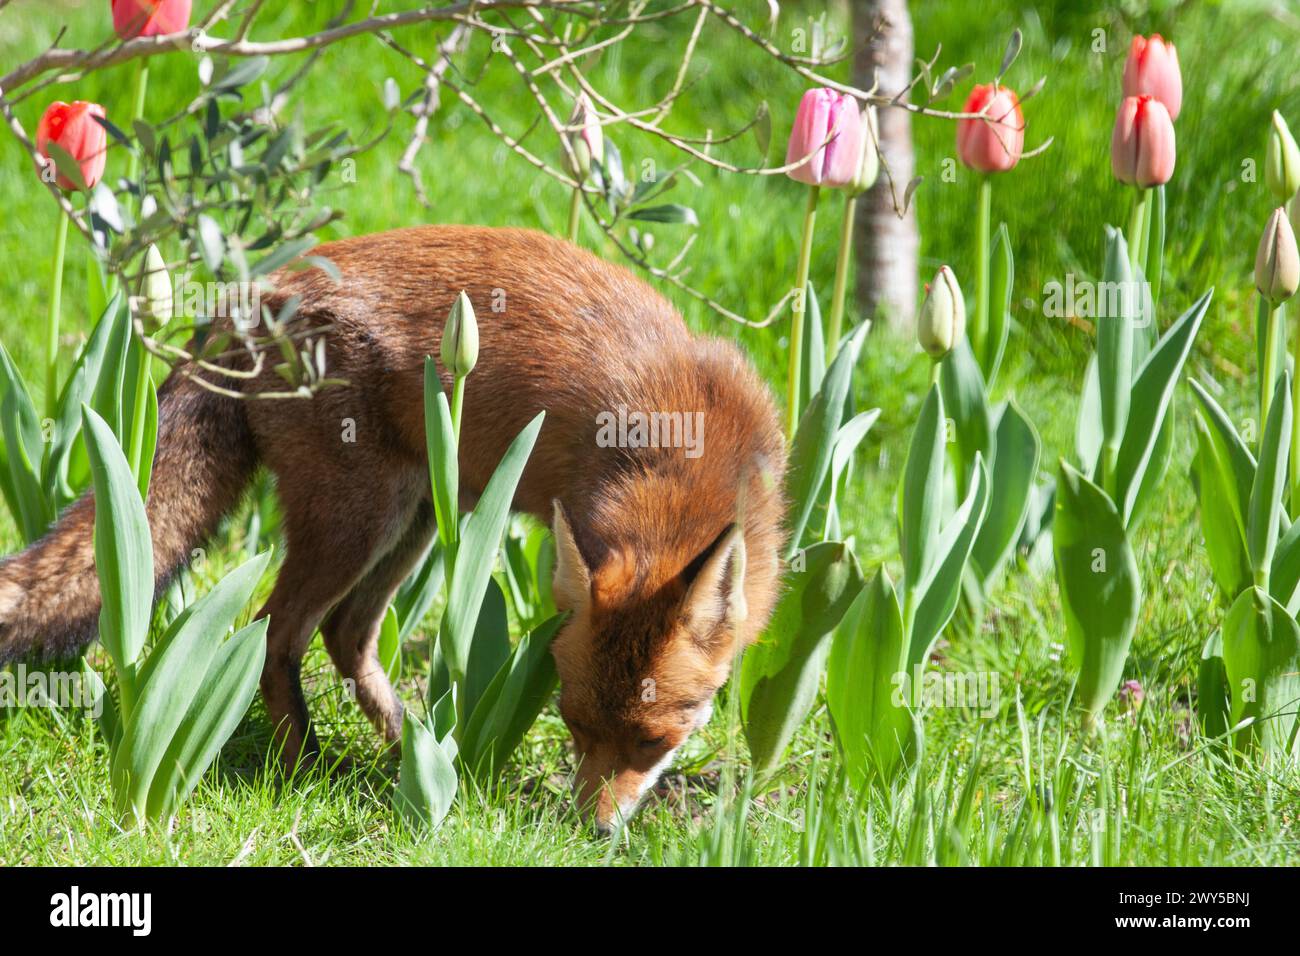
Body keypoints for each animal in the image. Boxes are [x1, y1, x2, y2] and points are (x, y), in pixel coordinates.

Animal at [0, 226, 780, 832]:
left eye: (652, 741)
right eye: (573, 724)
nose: (593, 832)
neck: (685, 451)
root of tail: (258, 292)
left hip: (418, 517)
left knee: (346, 634)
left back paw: (419, 756)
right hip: (359, 520)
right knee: (276, 632)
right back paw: (306, 769)